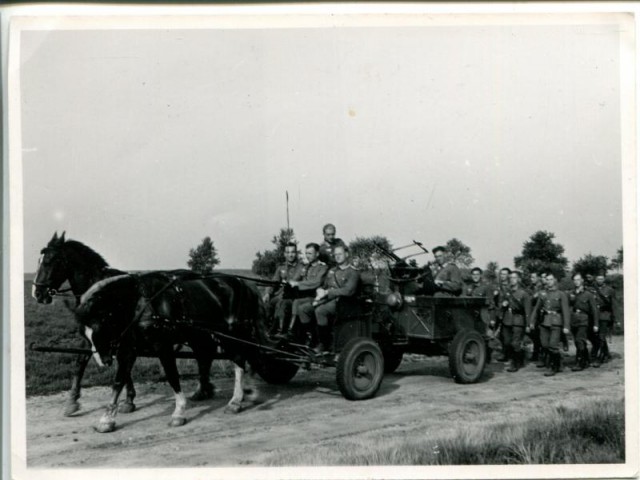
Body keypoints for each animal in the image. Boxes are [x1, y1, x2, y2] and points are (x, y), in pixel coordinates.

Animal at [76, 270, 268, 432]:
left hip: (233, 334)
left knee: (240, 361)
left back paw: (236, 401)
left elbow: (172, 376)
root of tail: (245, 284)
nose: (104, 361)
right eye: (85, 334)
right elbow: (118, 382)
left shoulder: (163, 346)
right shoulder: (128, 349)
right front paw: (106, 420)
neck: (141, 303)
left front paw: (179, 413)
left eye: (101, 328)